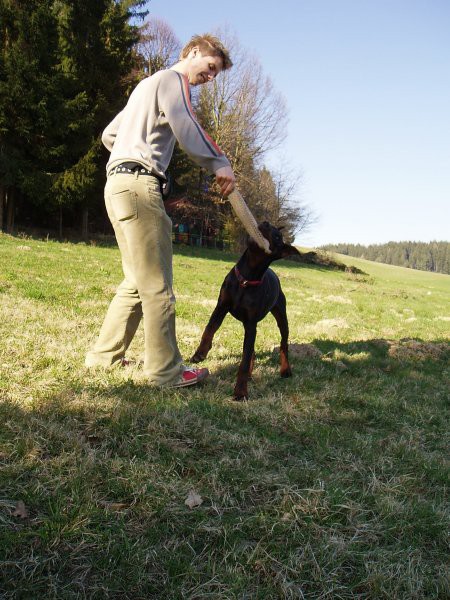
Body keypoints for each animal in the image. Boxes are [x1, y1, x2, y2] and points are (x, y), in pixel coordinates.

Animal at [192, 220, 300, 398]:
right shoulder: (221, 307)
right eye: (269, 227)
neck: (246, 278)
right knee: (253, 351)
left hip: (281, 317)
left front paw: (241, 392)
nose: (265, 223)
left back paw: (285, 370)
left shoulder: (250, 323)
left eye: (278, 237)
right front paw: (200, 353)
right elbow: (209, 329)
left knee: (283, 345)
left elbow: (243, 361)